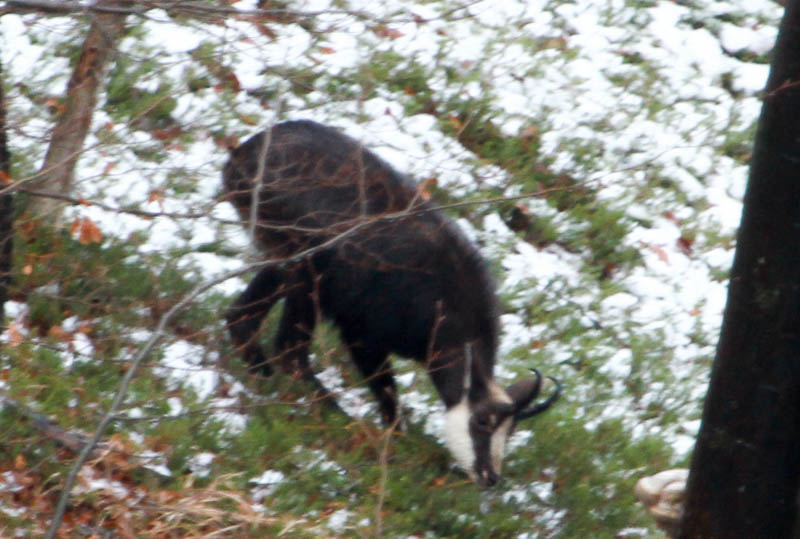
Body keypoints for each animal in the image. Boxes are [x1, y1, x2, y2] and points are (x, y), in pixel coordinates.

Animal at [223, 120, 564, 488]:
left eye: (511, 428)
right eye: (482, 421)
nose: (490, 477)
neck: (443, 310)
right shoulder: (363, 335)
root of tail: (245, 153)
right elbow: (386, 390)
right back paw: (332, 411)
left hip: (281, 259)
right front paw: (398, 441)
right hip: (305, 270)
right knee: (290, 350)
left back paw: (260, 372)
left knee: (241, 315)